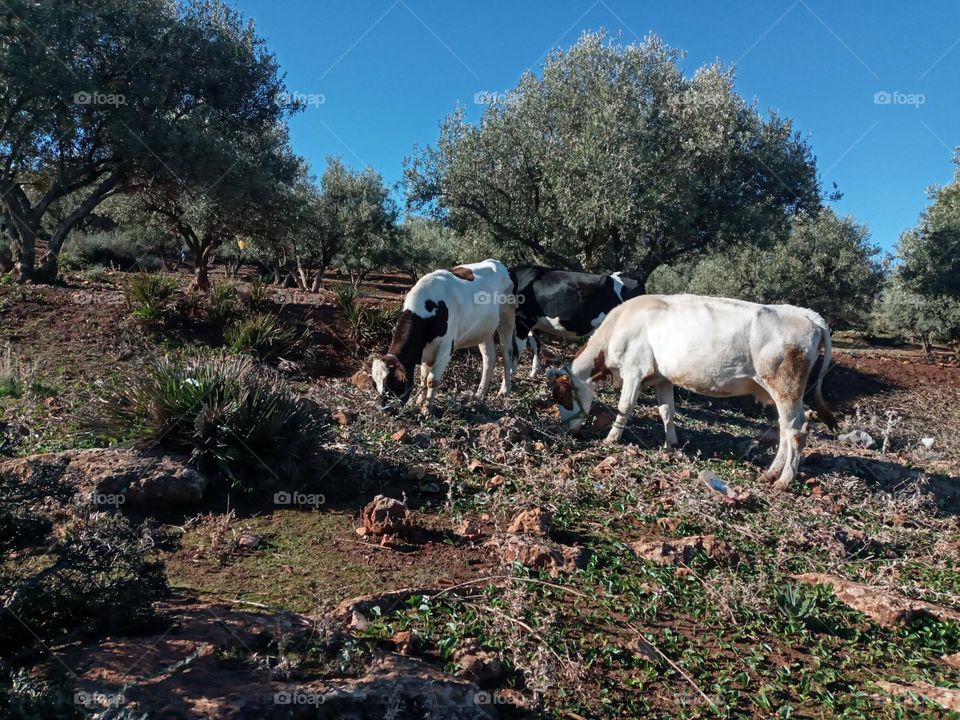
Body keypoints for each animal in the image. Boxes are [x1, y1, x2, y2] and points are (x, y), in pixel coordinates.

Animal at [372, 259, 517, 413]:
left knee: (507, 353)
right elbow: (423, 378)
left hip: (507, 318)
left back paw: (504, 391)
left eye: (394, 383)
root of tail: (497, 263)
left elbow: (431, 380)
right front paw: (419, 401)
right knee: (489, 357)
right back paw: (480, 394)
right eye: (376, 385)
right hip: (484, 329)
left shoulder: (446, 348)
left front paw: (427, 409)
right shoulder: (426, 350)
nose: (384, 410)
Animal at [546, 294, 836, 489]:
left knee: (796, 431)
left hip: (785, 386)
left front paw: (611, 439)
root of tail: (808, 314)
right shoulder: (662, 378)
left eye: (560, 396)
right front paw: (671, 445)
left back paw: (784, 480)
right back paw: (771, 473)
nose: (567, 430)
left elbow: (625, 406)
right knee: (786, 429)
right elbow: (667, 411)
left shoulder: (634, 370)